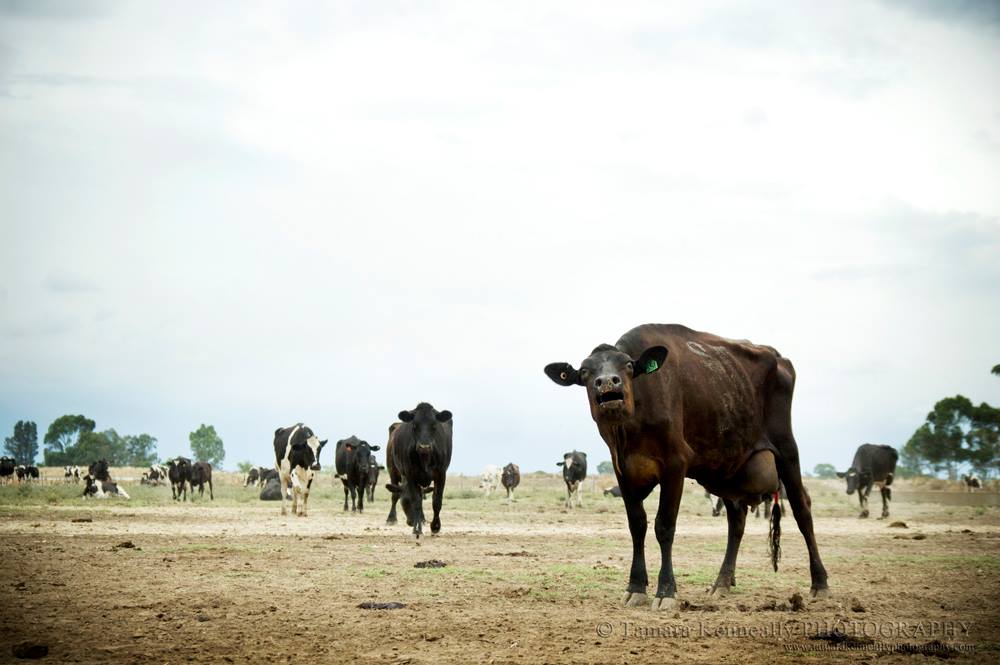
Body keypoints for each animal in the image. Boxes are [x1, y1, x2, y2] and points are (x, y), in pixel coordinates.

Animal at [386, 402, 454, 536]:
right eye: (414, 425)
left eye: (434, 425)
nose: (424, 446)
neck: (425, 457)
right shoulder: (410, 475)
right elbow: (417, 502)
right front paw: (417, 529)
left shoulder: (441, 474)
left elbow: (436, 501)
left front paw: (435, 526)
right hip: (392, 470)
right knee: (394, 495)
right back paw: (391, 518)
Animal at [548, 322, 828, 608]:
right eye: (585, 371)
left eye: (627, 365)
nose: (607, 382)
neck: (632, 426)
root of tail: (778, 357)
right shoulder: (623, 472)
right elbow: (637, 525)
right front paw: (636, 587)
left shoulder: (675, 465)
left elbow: (664, 526)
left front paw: (666, 591)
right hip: (727, 470)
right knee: (736, 520)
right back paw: (722, 583)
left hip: (786, 449)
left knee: (802, 509)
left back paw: (819, 583)